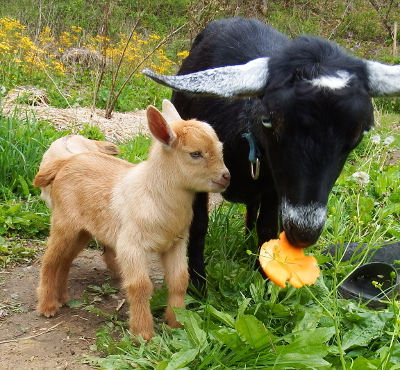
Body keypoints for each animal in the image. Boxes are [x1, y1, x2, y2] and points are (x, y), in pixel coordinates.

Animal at [33, 100, 231, 342]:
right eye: (195, 154)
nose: (226, 177)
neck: (153, 194)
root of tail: (67, 161)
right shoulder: (131, 245)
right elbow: (140, 286)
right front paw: (143, 334)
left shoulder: (175, 243)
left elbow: (179, 280)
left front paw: (177, 323)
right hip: (64, 222)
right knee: (50, 260)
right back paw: (47, 306)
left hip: (83, 230)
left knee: (65, 259)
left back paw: (61, 297)